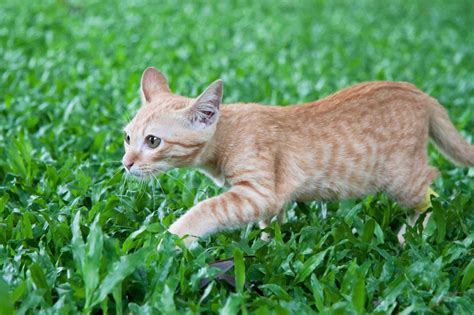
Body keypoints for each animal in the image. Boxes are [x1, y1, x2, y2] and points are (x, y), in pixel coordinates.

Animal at [123, 68, 474, 248]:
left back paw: (414, 233)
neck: (227, 133)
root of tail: (420, 94)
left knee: (433, 190)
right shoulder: (271, 196)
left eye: (152, 141)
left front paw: (174, 239)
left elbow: (206, 209)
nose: (126, 163)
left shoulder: (258, 192)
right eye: (127, 138)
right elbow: (271, 220)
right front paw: (269, 243)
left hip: (401, 179)